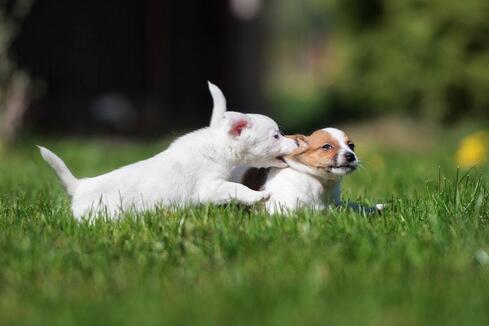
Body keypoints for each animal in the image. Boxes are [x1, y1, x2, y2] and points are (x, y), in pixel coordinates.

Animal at [39, 81, 294, 219]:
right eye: (276, 135)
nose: (297, 143)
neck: (217, 146)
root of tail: (79, 187)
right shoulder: (210, 187)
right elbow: (237, 189)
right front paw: (259, 196)